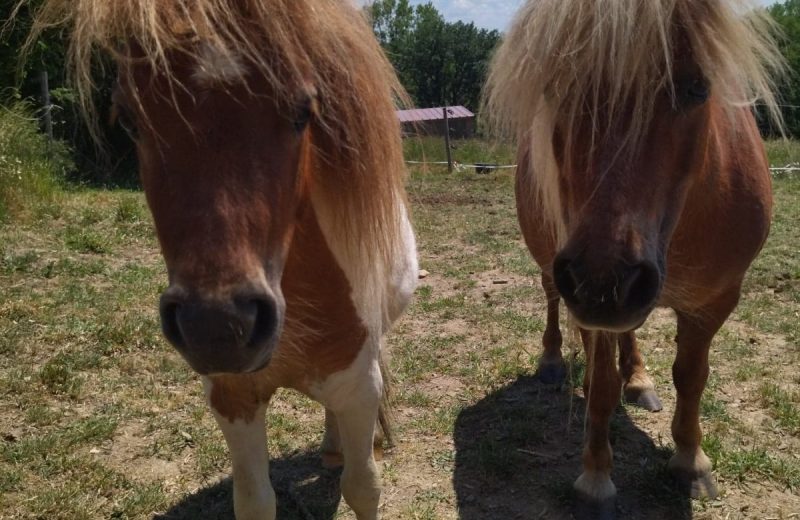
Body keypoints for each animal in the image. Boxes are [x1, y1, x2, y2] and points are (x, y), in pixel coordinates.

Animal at [21, 2, 416, 516]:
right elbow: (255, 500)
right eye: (129, 119)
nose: (217, 327)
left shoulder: (358, 388)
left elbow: (363, 487)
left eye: (304, 111)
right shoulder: (233, 398)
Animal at [484, 0, 784, 512]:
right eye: (553, 89)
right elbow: (602, 384)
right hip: (555, 269)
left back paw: (639, 378)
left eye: (697, 87)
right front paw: (595, 475)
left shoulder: (715, 300)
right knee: (552, 301)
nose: (604, 282)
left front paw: (690, 461)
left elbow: (692, 376)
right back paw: (553, 363)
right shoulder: (584, 298)